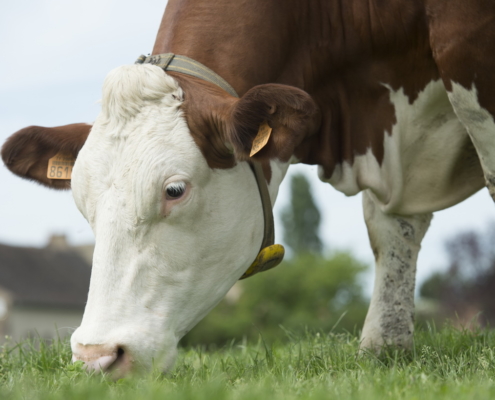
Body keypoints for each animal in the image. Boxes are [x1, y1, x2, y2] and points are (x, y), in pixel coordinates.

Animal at [1, 0, 494, 376]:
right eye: (82, 204)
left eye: (174, 190)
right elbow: (391, 232)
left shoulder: (467, 46)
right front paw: (385, 348)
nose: (97, 357)